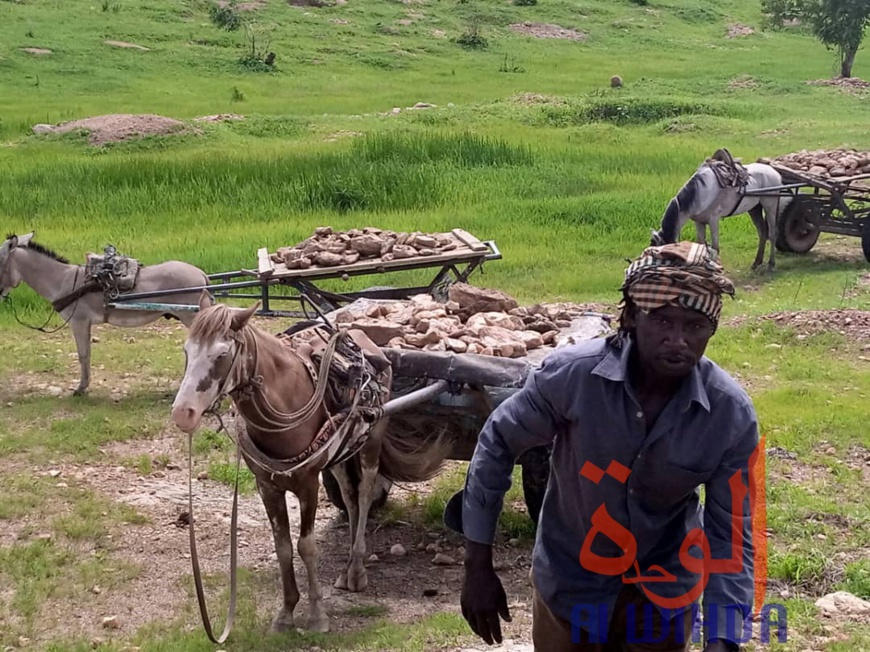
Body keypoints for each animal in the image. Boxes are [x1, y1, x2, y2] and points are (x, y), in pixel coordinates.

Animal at [170, 292, 450, 636]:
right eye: (186, 350)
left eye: (222, 354)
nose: (183, 413)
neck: (287, 400)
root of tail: (362, 339)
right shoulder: (267, 486)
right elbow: (283, 547)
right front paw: (286, 612)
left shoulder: (307, 484)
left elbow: (307, 546)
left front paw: (317, 614)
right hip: (341, 454)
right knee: (349, 496)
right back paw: (348, 568)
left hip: (371, 442)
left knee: (365, 493)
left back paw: (357, 569)